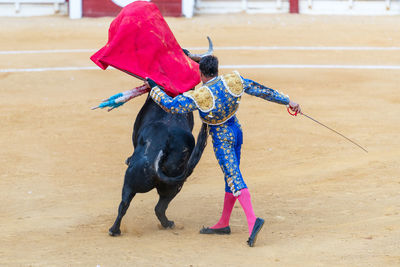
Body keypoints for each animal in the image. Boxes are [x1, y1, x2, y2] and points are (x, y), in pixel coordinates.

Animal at [109, 94, 209, 237]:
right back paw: (168, 224)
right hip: (174, 186)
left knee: (125, 205)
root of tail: (162, 147)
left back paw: (114, 230)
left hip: (130, 183)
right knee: (157, 208)